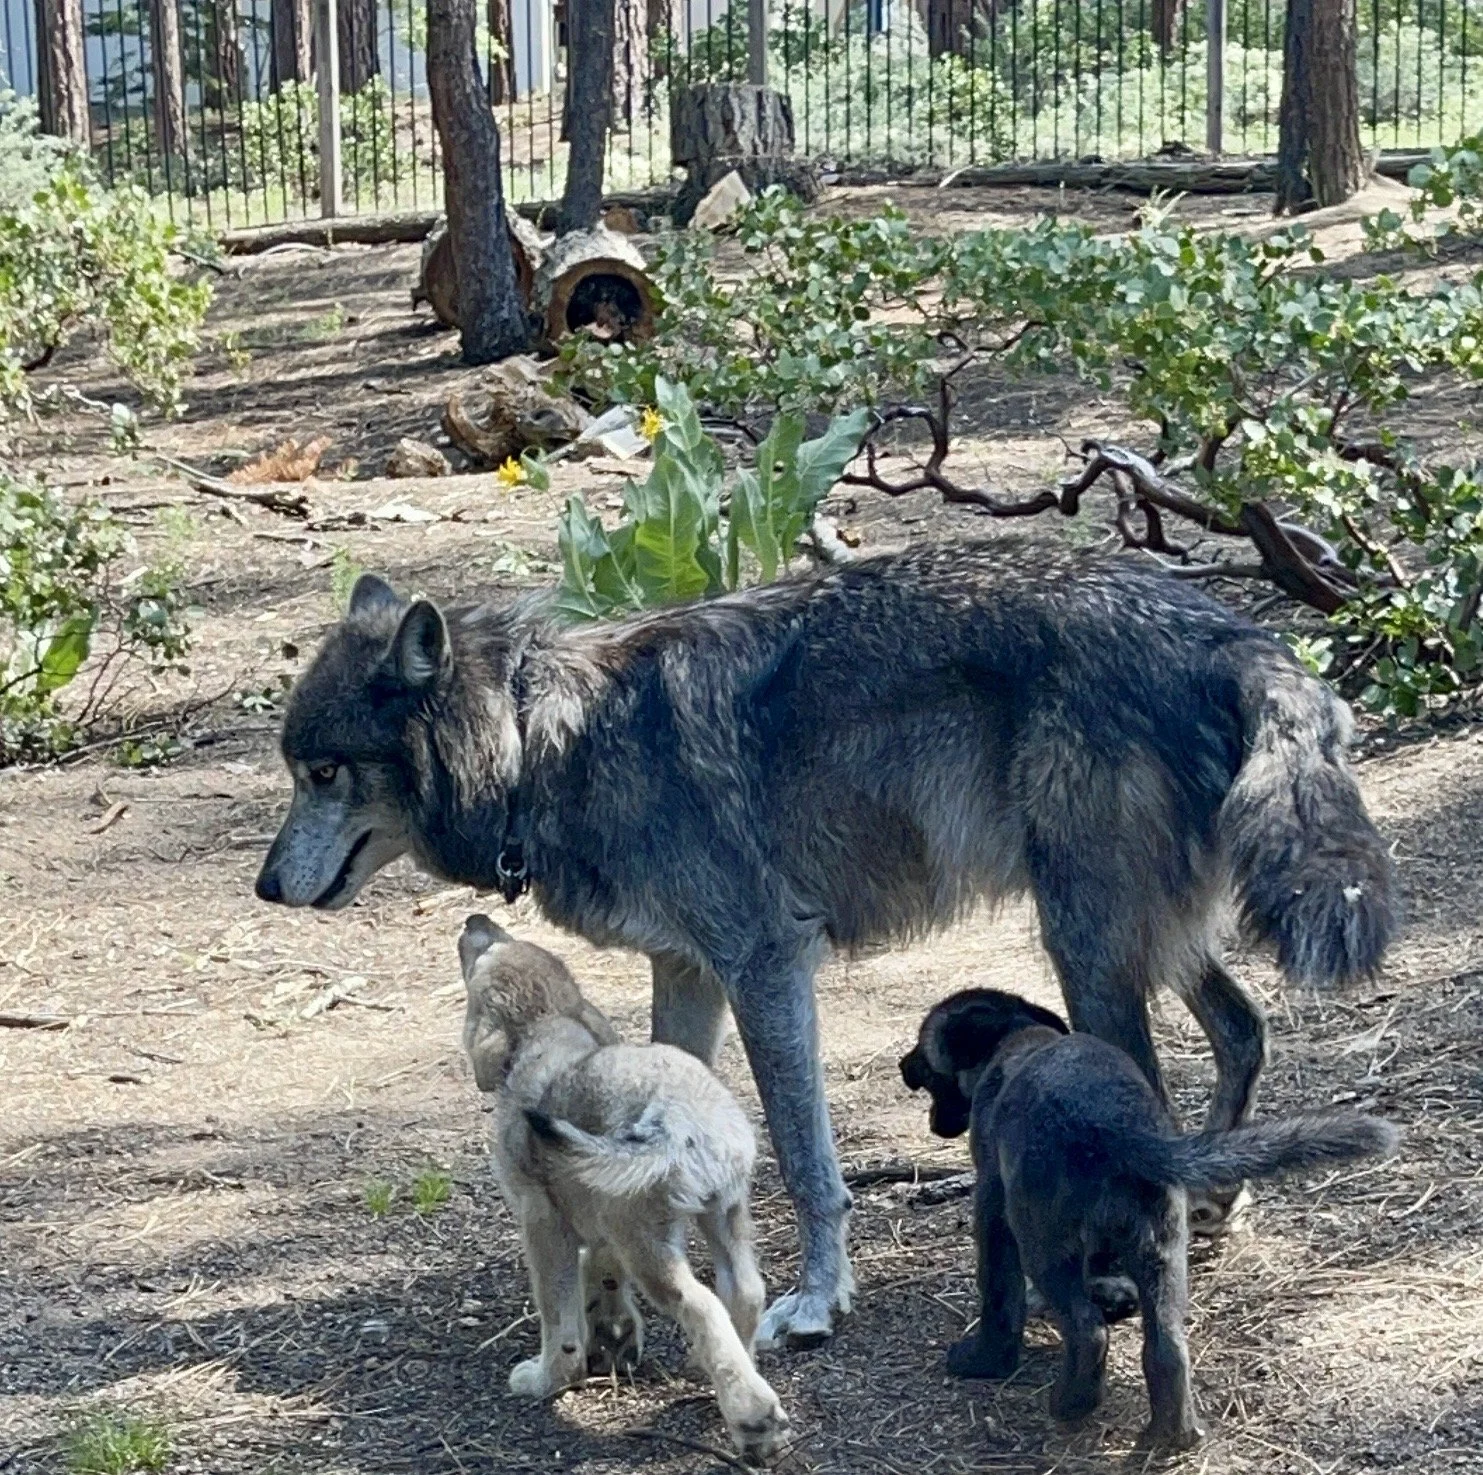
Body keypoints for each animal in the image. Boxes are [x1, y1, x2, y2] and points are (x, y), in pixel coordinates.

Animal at [254, 536, 1397, 1349]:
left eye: (322, 771)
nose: (264, 885)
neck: (539, 741)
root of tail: (1227, 631)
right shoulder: (687, 970)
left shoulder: (765, 961)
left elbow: (808, 1159)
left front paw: (813, 1301)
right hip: (1133, 934)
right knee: (1243, 1029)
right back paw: (1219, 1197)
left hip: (1084, 941)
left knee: (1155, 1087)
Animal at [457, 914, 788, 1462]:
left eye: (484, 956)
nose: (475, 920)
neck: (550, 1030)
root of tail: (679, 1118)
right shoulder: (600, 1215)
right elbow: (600, 1270)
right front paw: (611, 1329)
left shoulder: (541, 1220)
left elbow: (559, 1316)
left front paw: (548, 1378)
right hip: (723, 1214)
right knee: (743, 1294)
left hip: (650, 1246)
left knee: (701, 1305)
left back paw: (752, 1416)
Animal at [900, 988, 1400, 1448]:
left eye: (924, 1056)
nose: (905, 1067)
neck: (1013, 1038)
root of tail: (1118, 1128)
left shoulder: (993, 1205)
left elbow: (999, 1294)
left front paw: (984, 1360)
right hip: (1161, 1250)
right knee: (1168, 1346)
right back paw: (1172, 1436)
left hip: (1043, 1241)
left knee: (1087, 1329)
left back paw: (1070, 1404)